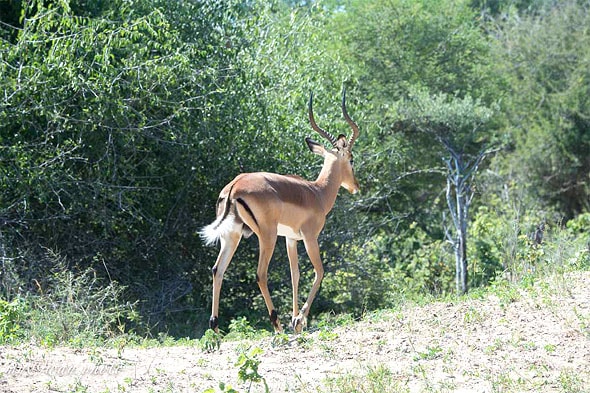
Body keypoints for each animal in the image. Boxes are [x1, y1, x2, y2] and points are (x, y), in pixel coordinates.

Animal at [201, 90, 360, 332]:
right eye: (351, 159)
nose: (356, 186)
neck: (317, 192)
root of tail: (235, 186)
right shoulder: (310, 237)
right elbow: (319, 271)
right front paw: (298, 319)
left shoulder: (290, 239)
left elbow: (295, 274)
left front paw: (296, 321)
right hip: (267, 235)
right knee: (260, 274)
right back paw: (277, 325)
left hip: (232, 235)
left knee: (217, 269)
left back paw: (216, 328)